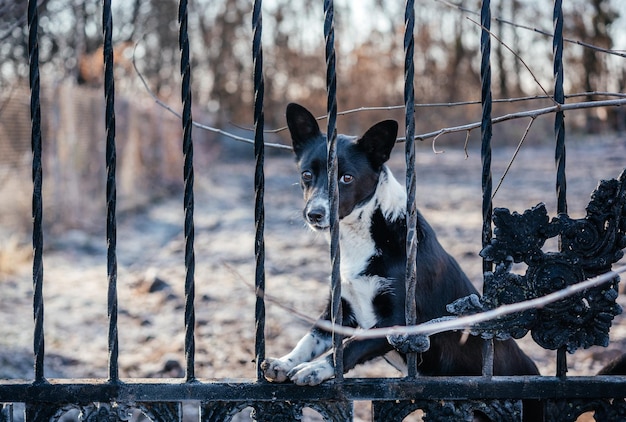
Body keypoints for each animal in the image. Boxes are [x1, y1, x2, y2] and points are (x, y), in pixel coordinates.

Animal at [260, 104, 540, 388]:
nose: (314, 214)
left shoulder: (399, 320)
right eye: (306, 174)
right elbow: (311, 338)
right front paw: (285, 362)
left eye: (347, 178)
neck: (363, 235)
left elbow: (350, 345)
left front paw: (315, 368)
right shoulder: (338, 310)